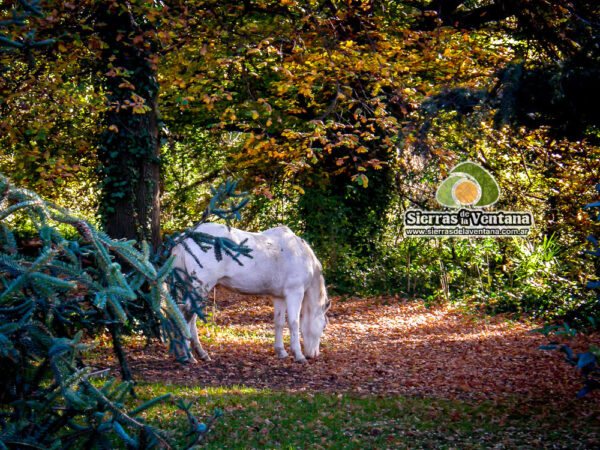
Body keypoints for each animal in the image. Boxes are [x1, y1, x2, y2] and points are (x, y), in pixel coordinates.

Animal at [171, 223, 330, 364]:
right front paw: (298, 355)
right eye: (323, 326)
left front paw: (281, 352)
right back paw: (188, 356)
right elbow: (293, 323)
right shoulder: (294, 293)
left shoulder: (279, 296)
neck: (300, 254)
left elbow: (279, 322)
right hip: (201, 287)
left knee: (189, 317)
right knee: (186, 315)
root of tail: (185, 237)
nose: (314, 354)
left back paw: (200, 354)